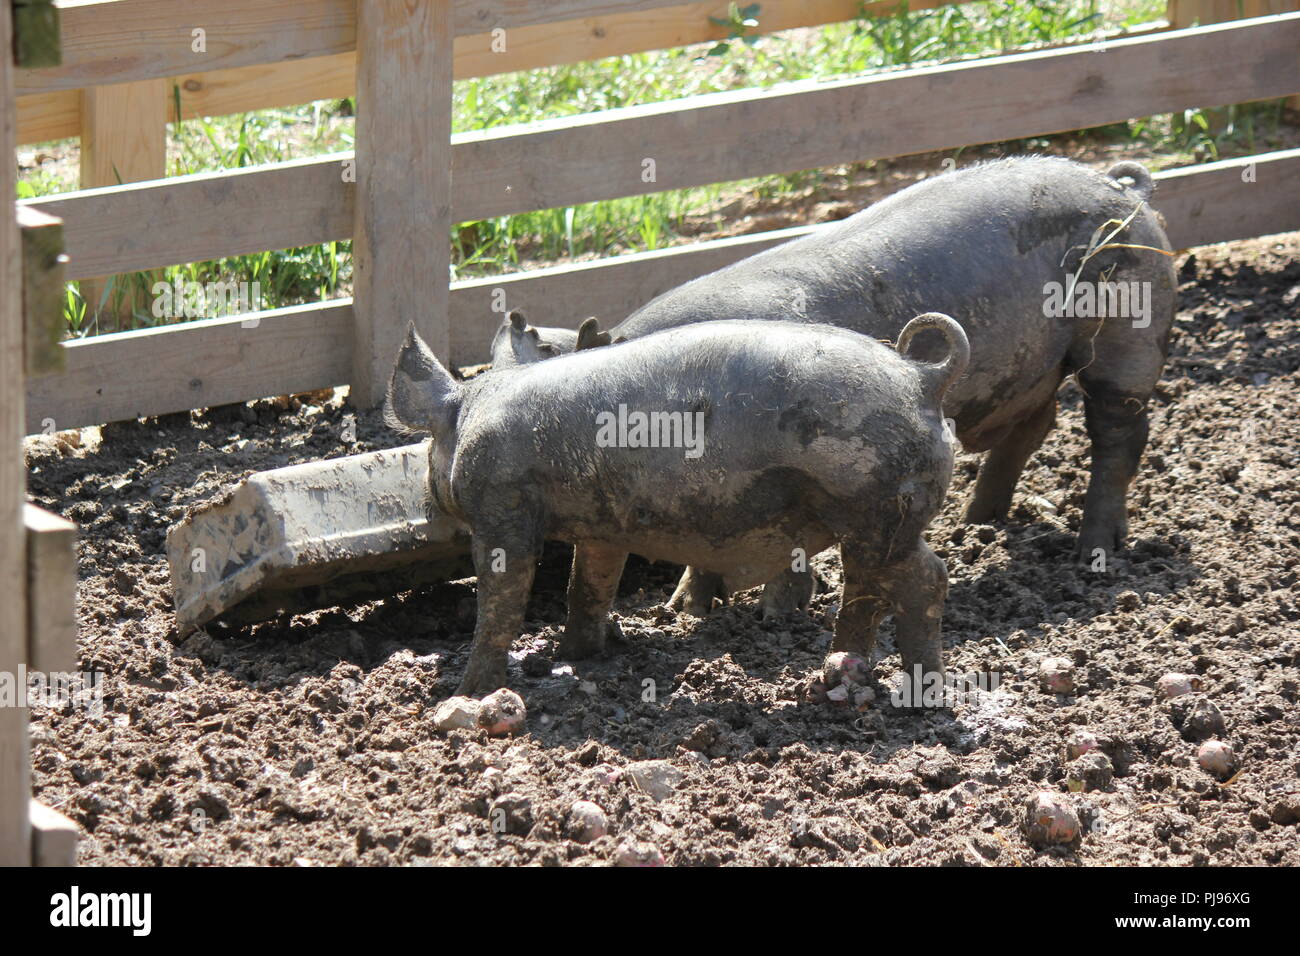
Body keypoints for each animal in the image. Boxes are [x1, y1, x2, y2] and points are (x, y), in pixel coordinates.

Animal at [387, 313, 970, 696]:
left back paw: (922, 694)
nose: (426, 494)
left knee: (927, 578)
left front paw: (467, 692)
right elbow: (587, 588)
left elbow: (501, 599)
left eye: (430, 445)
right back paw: (835, 675)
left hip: (874, 505)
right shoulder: (602, 529)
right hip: (872, 523)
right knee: (867, 590)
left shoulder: (502, 504)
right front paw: (576, 656)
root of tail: (924, 379)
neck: (469, 416)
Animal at [488, 156, 1177, 614]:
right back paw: (977, 523)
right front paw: (684, 612)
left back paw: (1095, 550)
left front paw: (775, 614)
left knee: (1120, 433)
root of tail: (1122, 185)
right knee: (1033, 428)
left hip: (1130, 331)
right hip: (1037, 369)